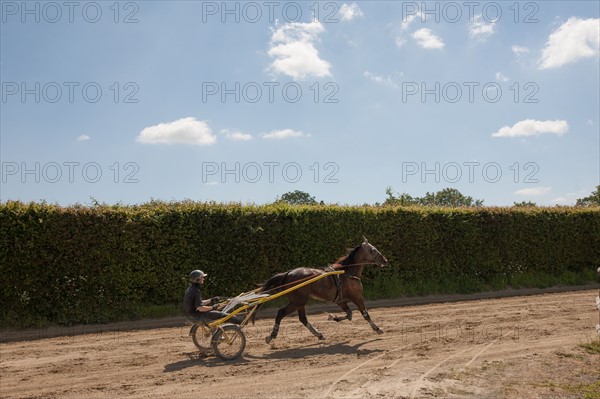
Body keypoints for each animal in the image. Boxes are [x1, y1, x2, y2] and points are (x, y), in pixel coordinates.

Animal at [254, 238, 386, 344]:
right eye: (373, 250)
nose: (385, 260)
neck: (348, 272)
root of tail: (288, 273)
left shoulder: (341, 301)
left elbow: (349, 315)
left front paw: (333, 317)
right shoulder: (358, 297)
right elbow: (365, 314)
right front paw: (378, 329)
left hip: (300, 302)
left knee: (303, 319)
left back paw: (319, 334)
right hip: (298, 301)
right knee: (281, 313)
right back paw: (271, 336)